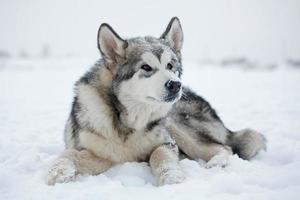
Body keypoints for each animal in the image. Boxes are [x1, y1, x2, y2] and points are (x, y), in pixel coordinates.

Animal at [45, 17, 266, 186]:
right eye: (146, 67)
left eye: (170, 65)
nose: (175, 85)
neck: (128, 123)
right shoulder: (102, 154)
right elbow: (69, 154)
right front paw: (57, 173)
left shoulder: (167, 142)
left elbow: (159, 155)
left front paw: (172, 178)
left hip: (178, 125)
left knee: (225, 148)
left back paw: (215, 163)